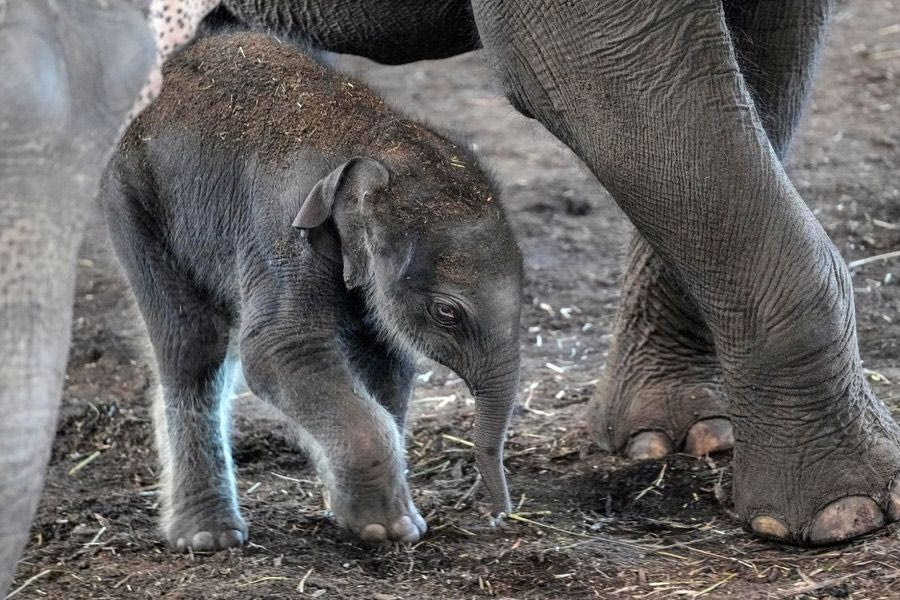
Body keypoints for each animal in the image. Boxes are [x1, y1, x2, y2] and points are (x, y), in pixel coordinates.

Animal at [99, 31, 524, 548]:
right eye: (447, 312)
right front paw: (392, 528)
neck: (374, 140)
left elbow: (387, 363)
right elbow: (278, 349)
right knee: (192, 344)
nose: (498, 518)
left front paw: (359, 517)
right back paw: (208, 538)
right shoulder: (282, 229)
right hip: (131, 196)